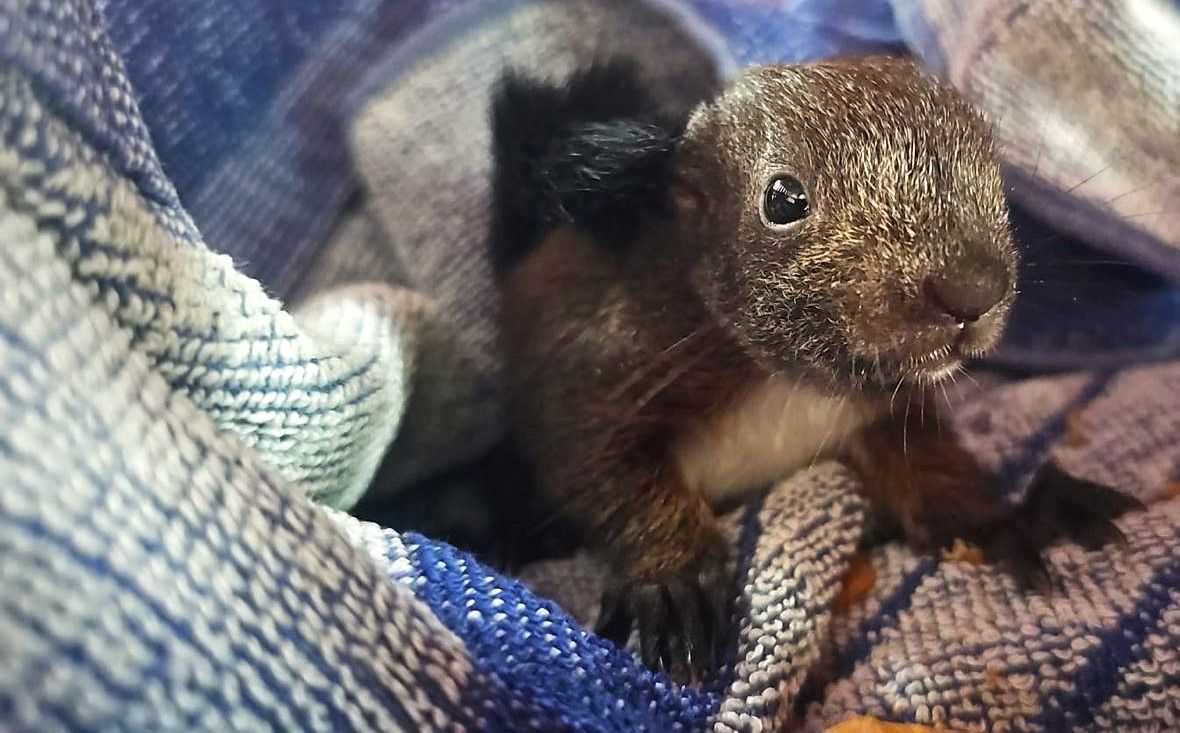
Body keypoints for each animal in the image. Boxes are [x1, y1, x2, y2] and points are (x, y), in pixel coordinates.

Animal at [486, 56, 1143, 683]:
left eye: (991, 172)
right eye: (782, 200)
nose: (975, 289)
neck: (789, 382)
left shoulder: (882, 416)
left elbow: (931, 479)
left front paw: (1007, 521)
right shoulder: (606, 359)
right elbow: (599, 465)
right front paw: (674, 574)